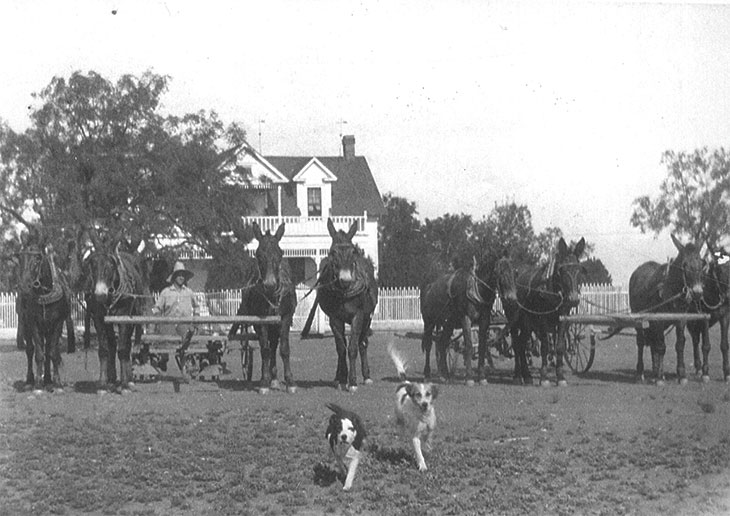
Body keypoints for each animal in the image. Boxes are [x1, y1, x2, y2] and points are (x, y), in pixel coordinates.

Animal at [386, 342, 438, 472]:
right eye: (418, 394)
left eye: (428, 394)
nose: (424, 404)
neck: (422, 416)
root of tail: (405, 383)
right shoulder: (415, 436)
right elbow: (419, 452)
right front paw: (422, 465)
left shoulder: (430, 429)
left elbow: (427, 441)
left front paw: (427, 449)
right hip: (399, 418)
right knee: (402, 428)